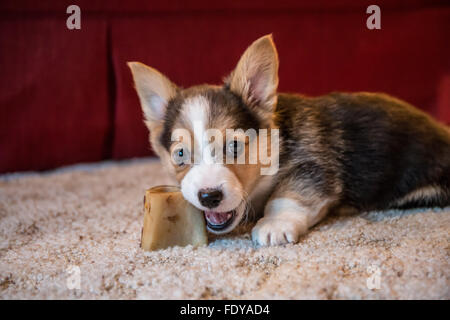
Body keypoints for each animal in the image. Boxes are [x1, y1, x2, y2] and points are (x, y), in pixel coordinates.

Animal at [129, 34, 450, 245]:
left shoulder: (313, 169)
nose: (209, 197)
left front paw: (274, 225)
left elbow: (287, 195)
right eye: (180, 155)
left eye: (234, 145)